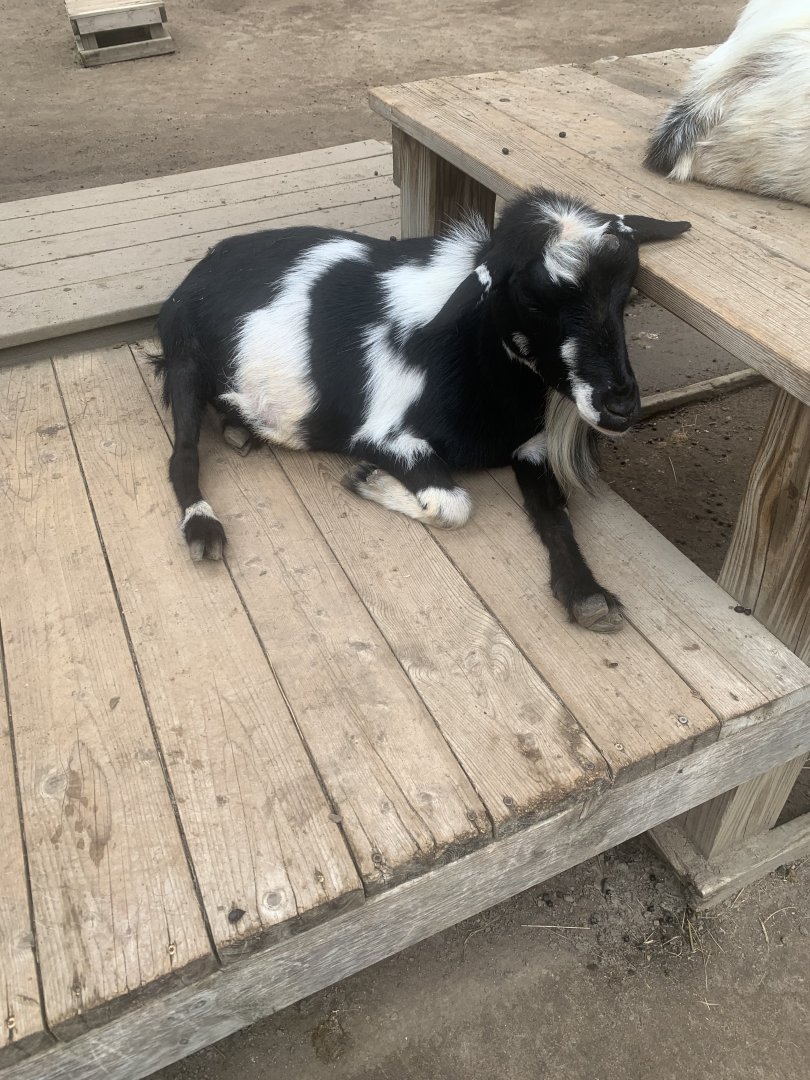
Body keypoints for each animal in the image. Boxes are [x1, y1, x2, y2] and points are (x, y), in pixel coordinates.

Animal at [154, 188, 689, 633]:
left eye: (625, 295)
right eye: (533, 300)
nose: (620, 404)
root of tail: (209, 260)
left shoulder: (531, 448)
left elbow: (554, 514)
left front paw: (586, 594)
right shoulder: (382, 435)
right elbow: (453, 505)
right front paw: (367, 480)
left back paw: (241, 427)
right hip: (184, 358)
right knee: (182, 454)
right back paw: (203, 524)